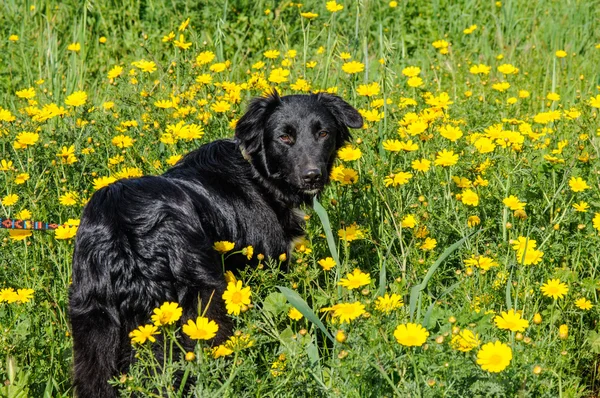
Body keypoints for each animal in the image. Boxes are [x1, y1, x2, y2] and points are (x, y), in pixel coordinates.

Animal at [68, 91, 364, 396]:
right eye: (284, 137)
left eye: (323, 133)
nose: (312, 175)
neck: (256, 171)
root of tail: (125, 233)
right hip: (203, 300)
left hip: (93, 321)